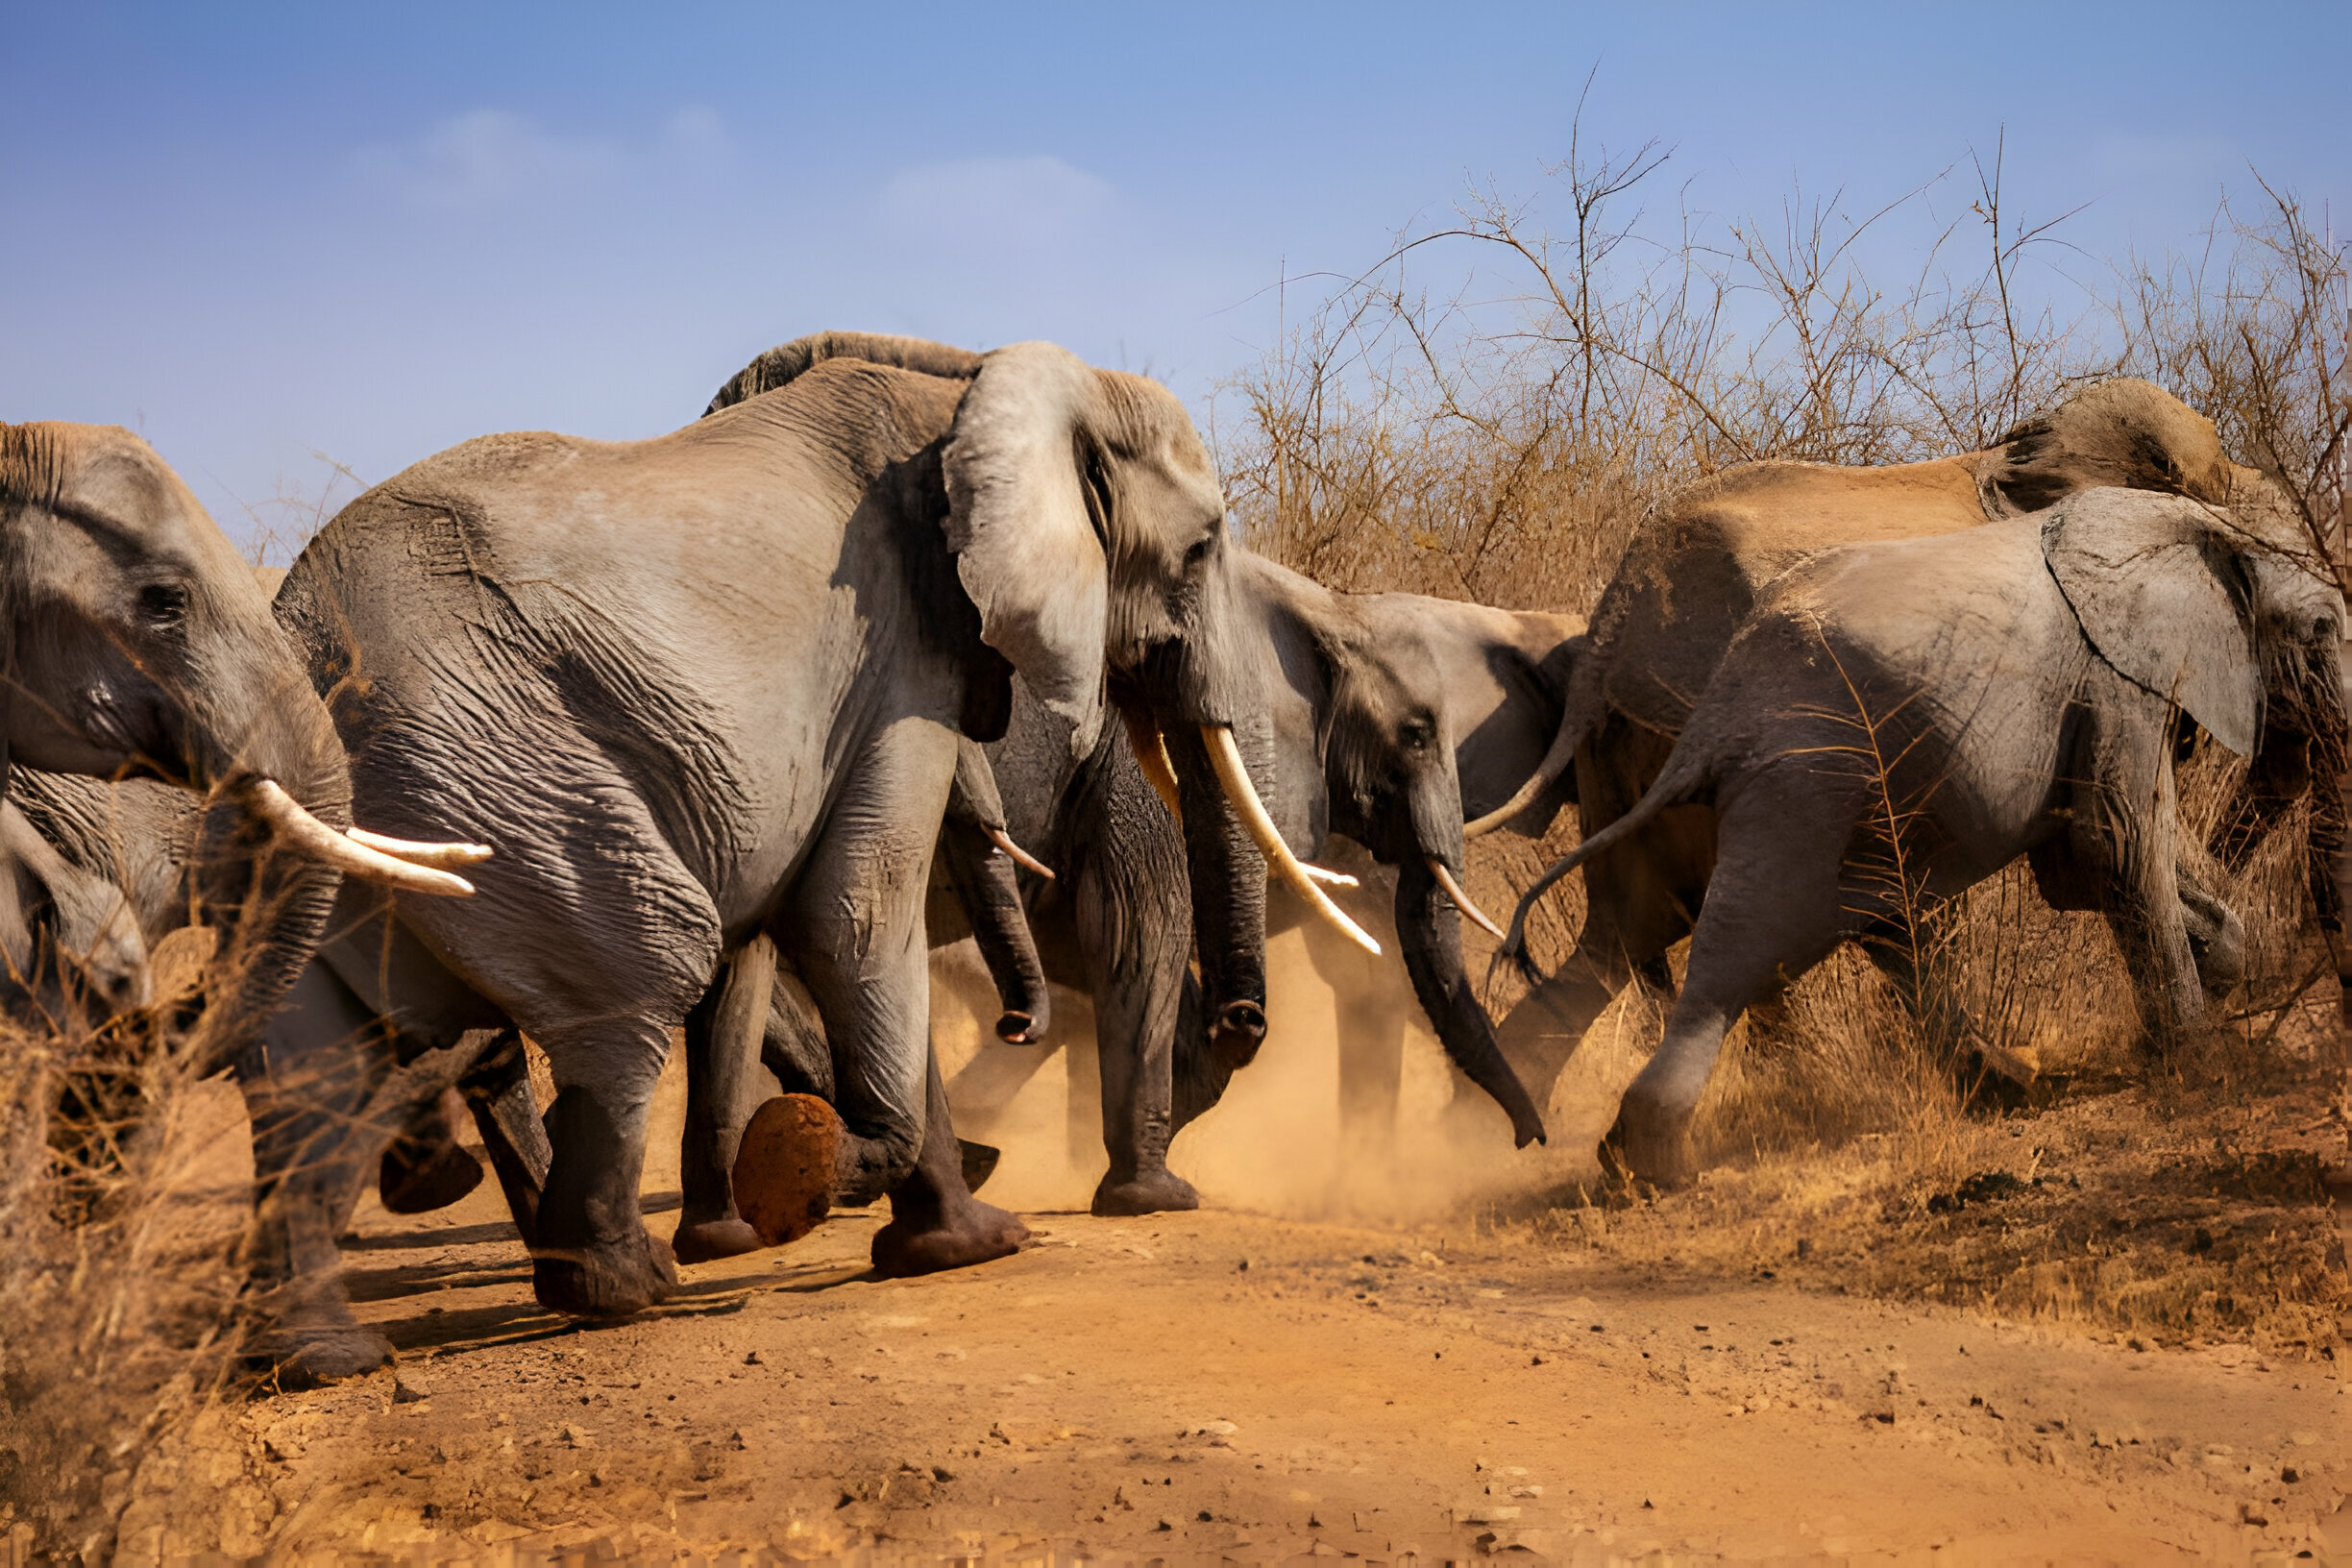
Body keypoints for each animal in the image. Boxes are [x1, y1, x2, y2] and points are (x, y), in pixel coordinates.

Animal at [236, 329, 1345, 1372]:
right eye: (1201, 550)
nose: (1241, 1019)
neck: (969, 385)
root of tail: (304, 628)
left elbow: (811, 941)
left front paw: (960, 1238)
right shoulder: (900, 652)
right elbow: (854, 913)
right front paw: (844, 1184)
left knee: (308, 1060)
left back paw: (324, 1353)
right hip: (500, 773)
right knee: (650, 964)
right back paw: (621, 1288)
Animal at [1495, 491, 2342, 1189]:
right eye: (2323, 628)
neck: (2201, 519)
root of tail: (1715, 720)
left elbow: (2080, 867)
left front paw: (2218, 974)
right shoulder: (2112, 678)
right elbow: (2116, 845)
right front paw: (2201, 1061)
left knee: (1648, 934)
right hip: (1803, 783)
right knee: (1739, 952)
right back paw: (1651, 1168)